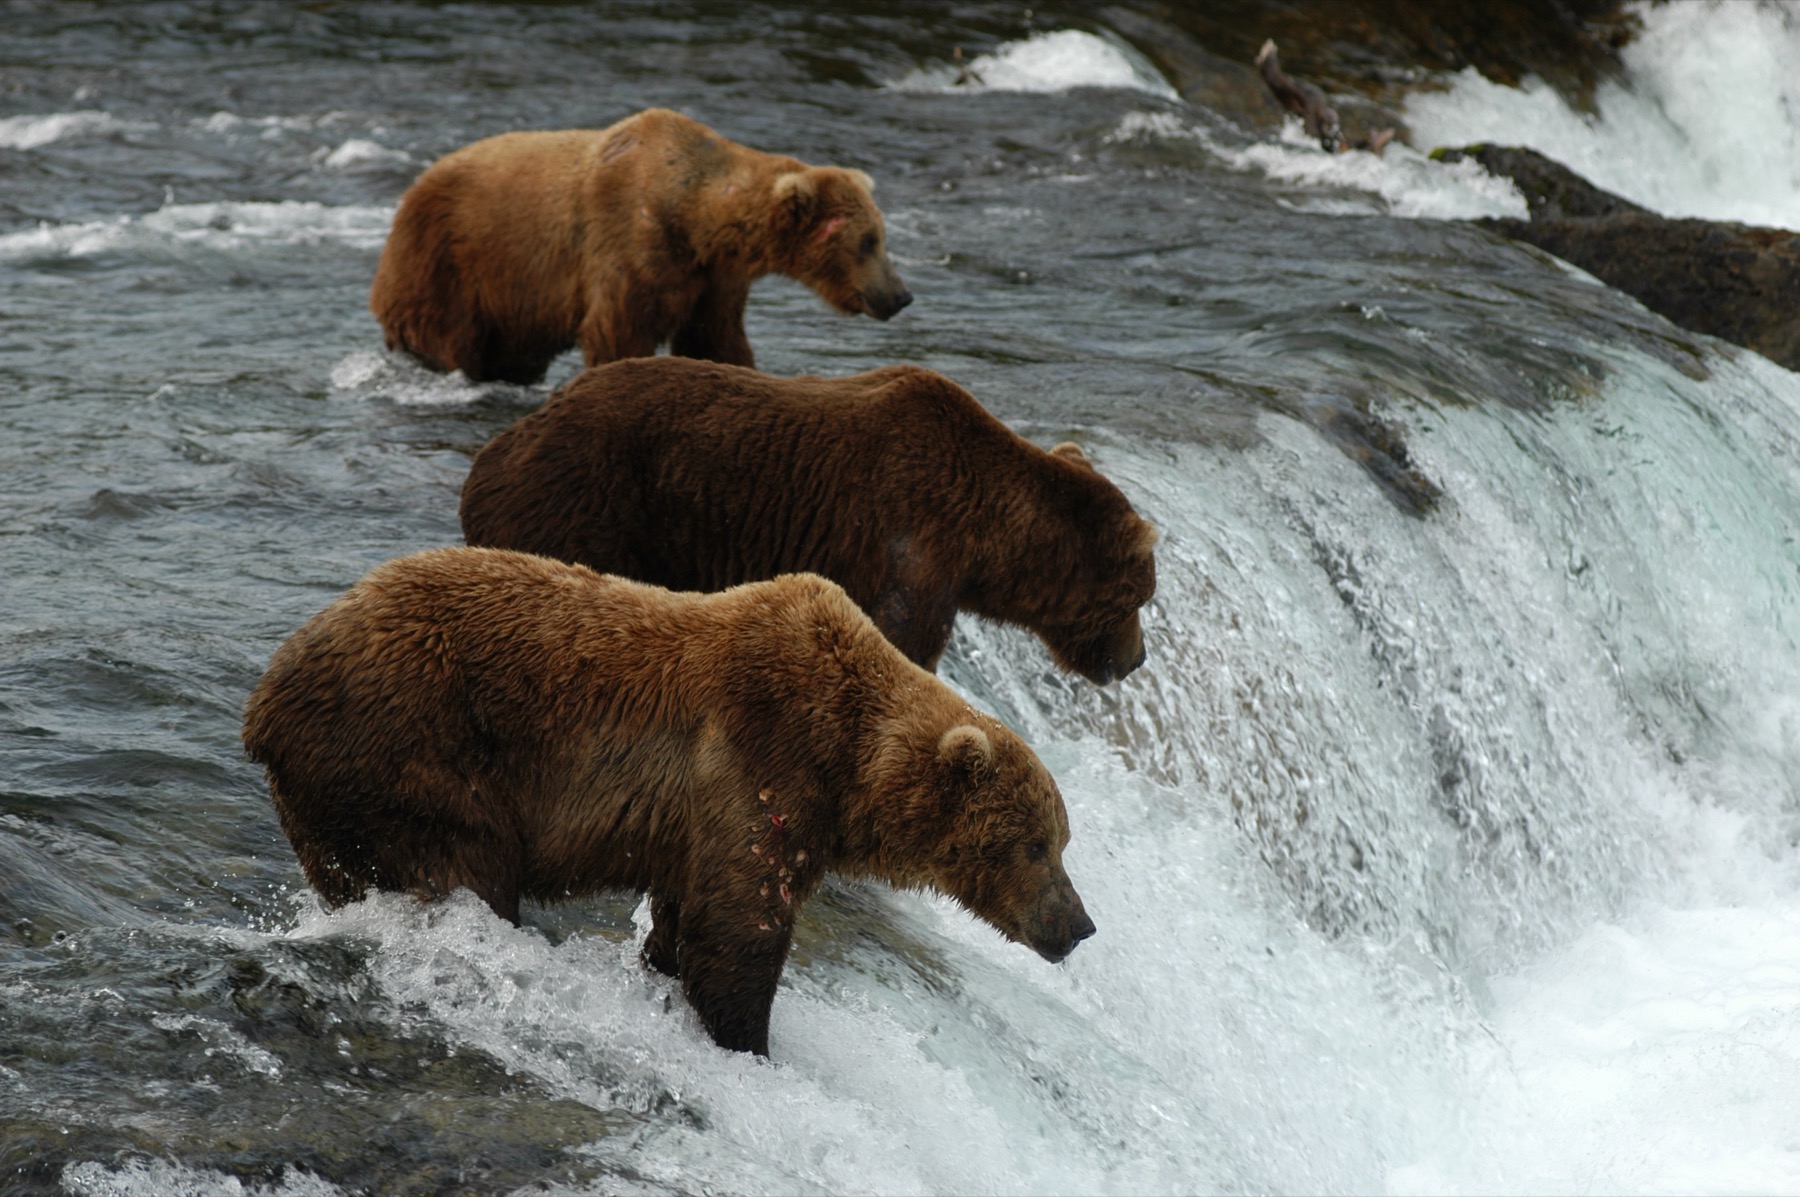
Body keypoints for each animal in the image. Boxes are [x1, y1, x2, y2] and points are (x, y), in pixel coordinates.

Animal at [241, 547, 1094, 1056]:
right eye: (1035, 842)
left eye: (1061, 840)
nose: (1079, 923)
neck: (852, 767)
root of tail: (265, 698)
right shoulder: (762, 760)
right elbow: (738, 930)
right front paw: (746, 1041)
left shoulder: (702, 822)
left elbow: (684, 917)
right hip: (412, 741)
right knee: (462, 865)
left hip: (325, 799)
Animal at [368, 107, 912, 385]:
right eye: (868, 240)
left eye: (882, 236)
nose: (900, 295)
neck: (695, 218)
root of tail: (411, 190)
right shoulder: (629, 244)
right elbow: (619, 330)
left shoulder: (712, 278)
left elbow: (715, 339)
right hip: (449, 264)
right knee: (447, 339)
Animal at [459, 356, 1159, 684]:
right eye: (1140, 597)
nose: (1138, 658)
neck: (987, 540)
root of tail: (490, 454)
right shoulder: (912, 541)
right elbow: (904, 642)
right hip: (585, 503)